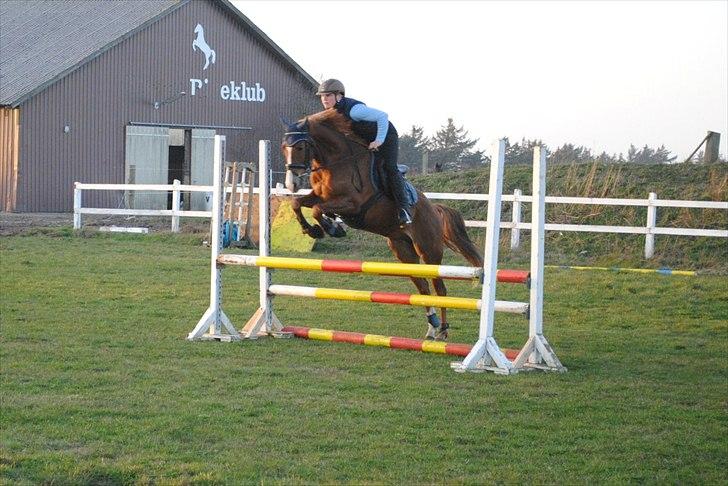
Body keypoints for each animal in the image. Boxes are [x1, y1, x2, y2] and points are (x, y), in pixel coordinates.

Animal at [281, 109, 484, 341]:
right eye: (283, 147)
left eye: (300, 147)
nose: (291, 184)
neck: (336, 162)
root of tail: (434, 209)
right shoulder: (319, 196)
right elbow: (298, 203)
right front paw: (312, 229)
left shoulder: (353, 204)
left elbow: (316, 209)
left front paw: (331, 228)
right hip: (403, 251)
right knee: (423, 286)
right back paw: (432, 327)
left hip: (428, 250)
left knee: (440, 288)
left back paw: (442, 330)